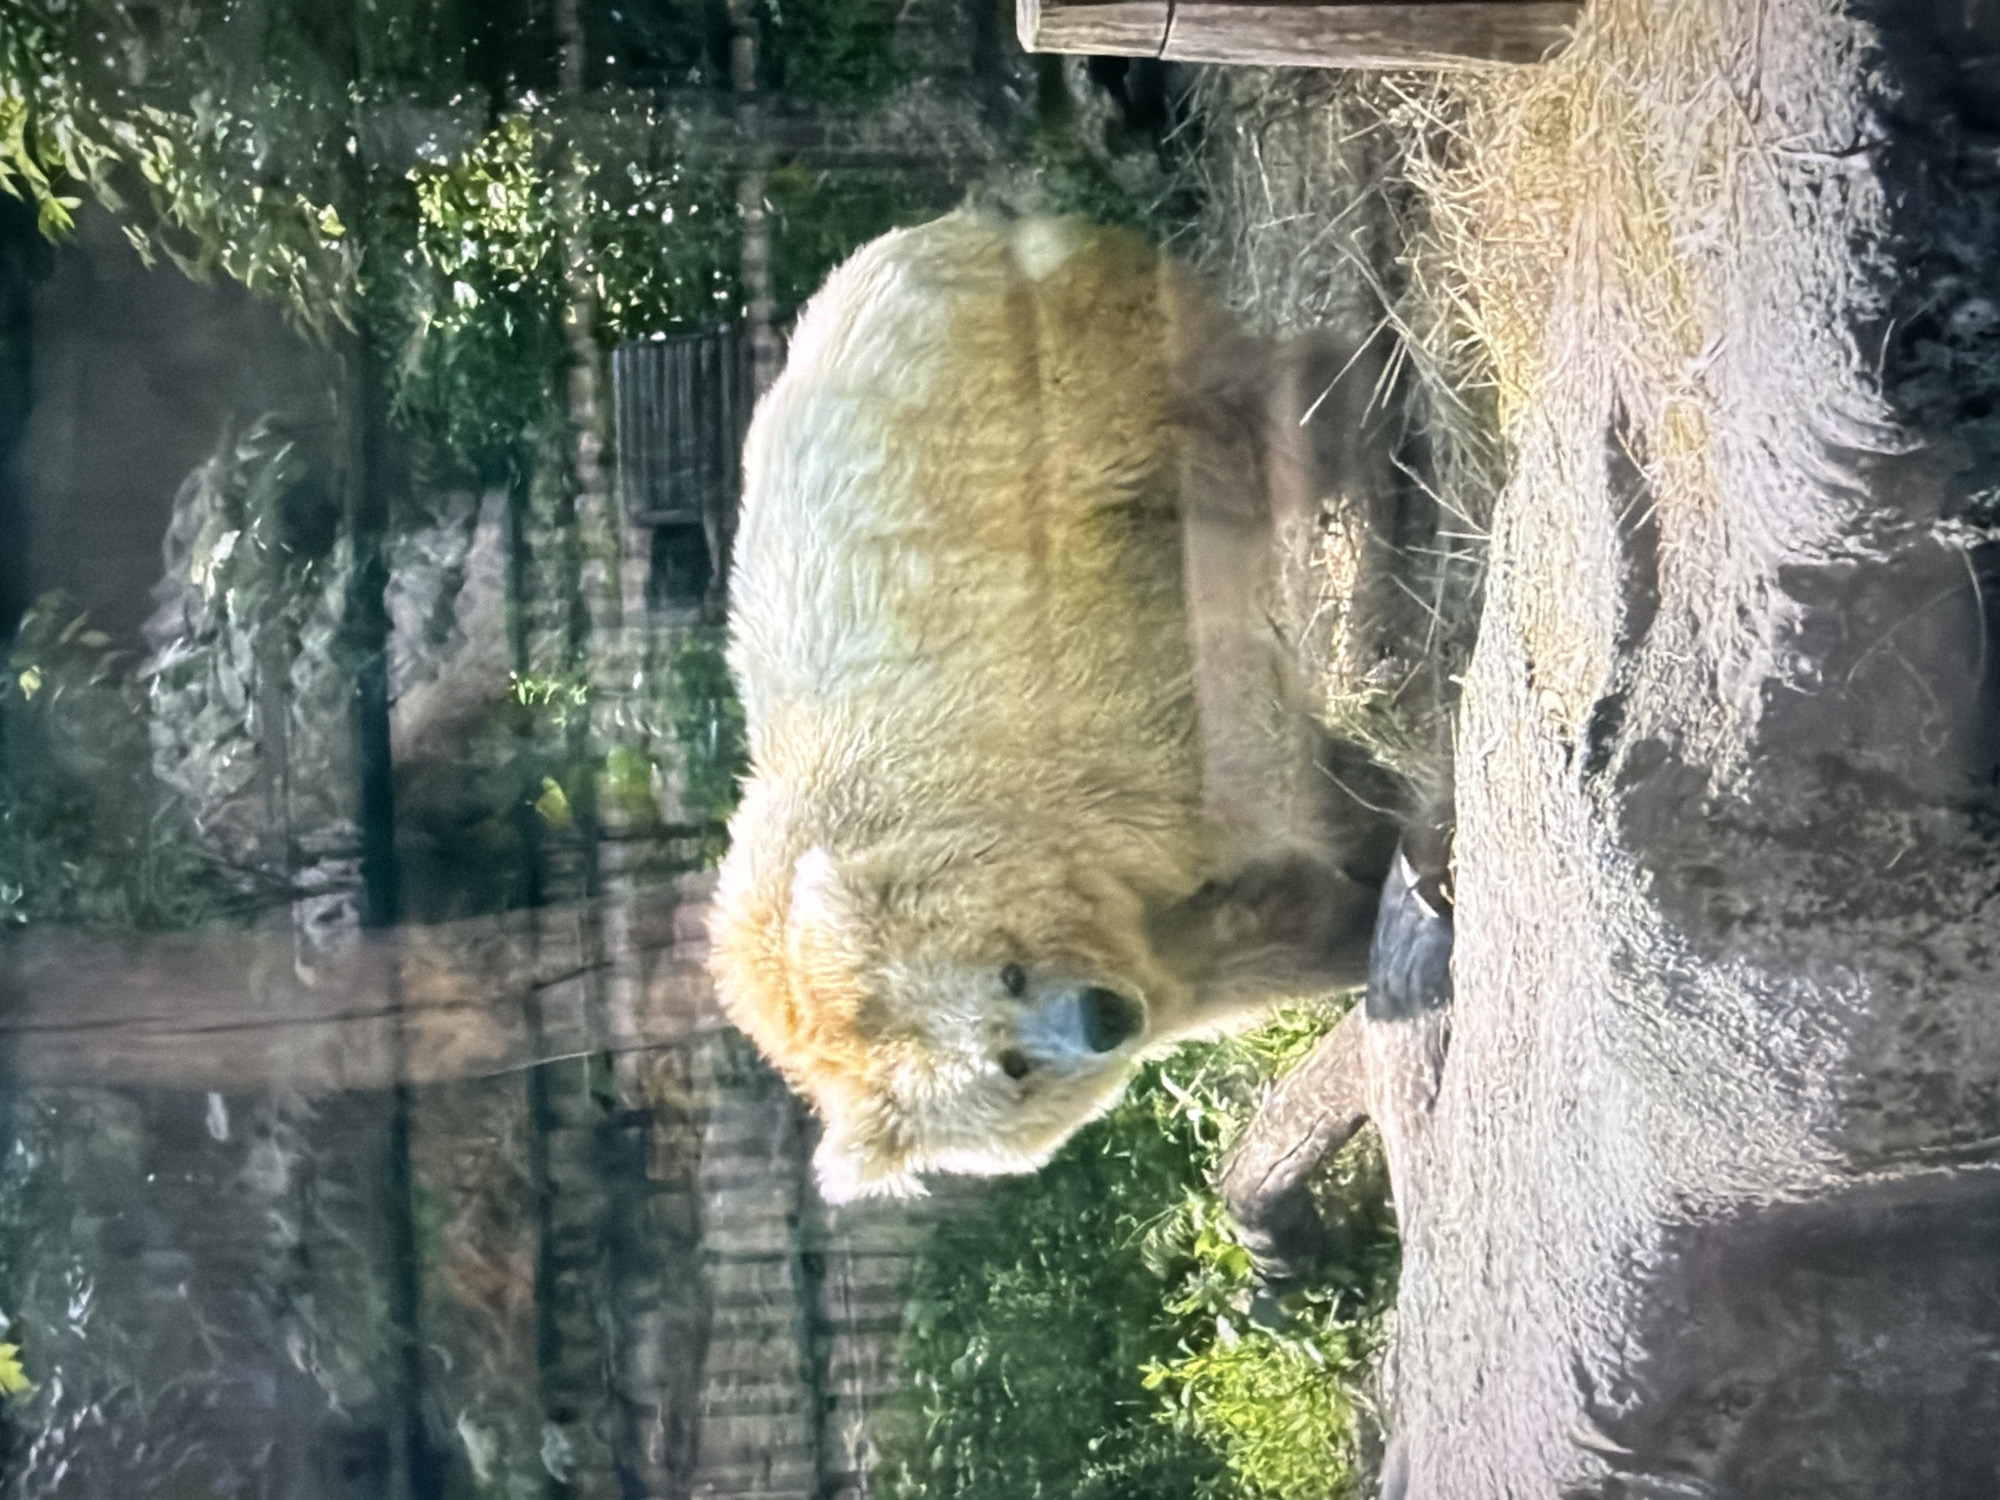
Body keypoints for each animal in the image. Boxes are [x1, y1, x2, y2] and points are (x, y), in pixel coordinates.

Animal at [708, 211, 1414, 1200]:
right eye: (1013, 1069)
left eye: (1007, 973)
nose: (1100, 1020)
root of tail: (907, 242)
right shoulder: (1144, 924)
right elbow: (1250, 944)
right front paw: (1350, 929)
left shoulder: (1077, 721)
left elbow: (1250, 765)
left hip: (1057, 388)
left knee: (1234, 419)